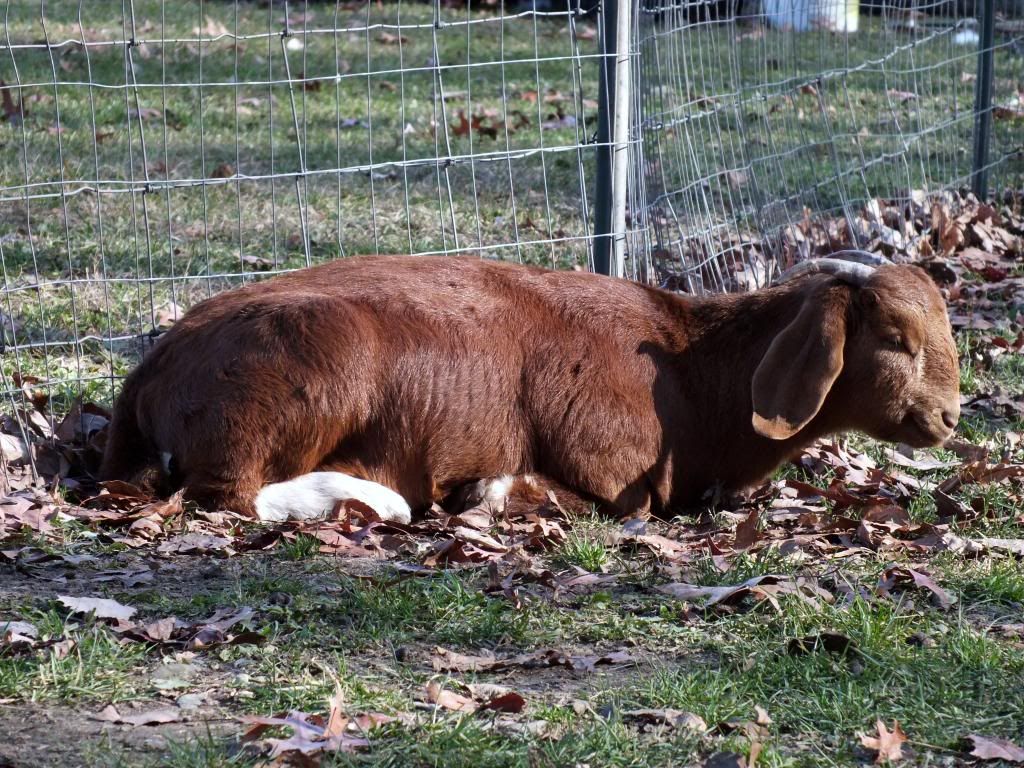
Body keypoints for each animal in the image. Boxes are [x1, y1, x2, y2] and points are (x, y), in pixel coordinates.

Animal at [100, 253, 960, 523]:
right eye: (895, 339)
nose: (952, 417)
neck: (690, 373)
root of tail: (152, 367)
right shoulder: (612, 470)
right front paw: (489, 491)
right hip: (300, 382)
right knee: (228, 496)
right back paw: (376, 501)